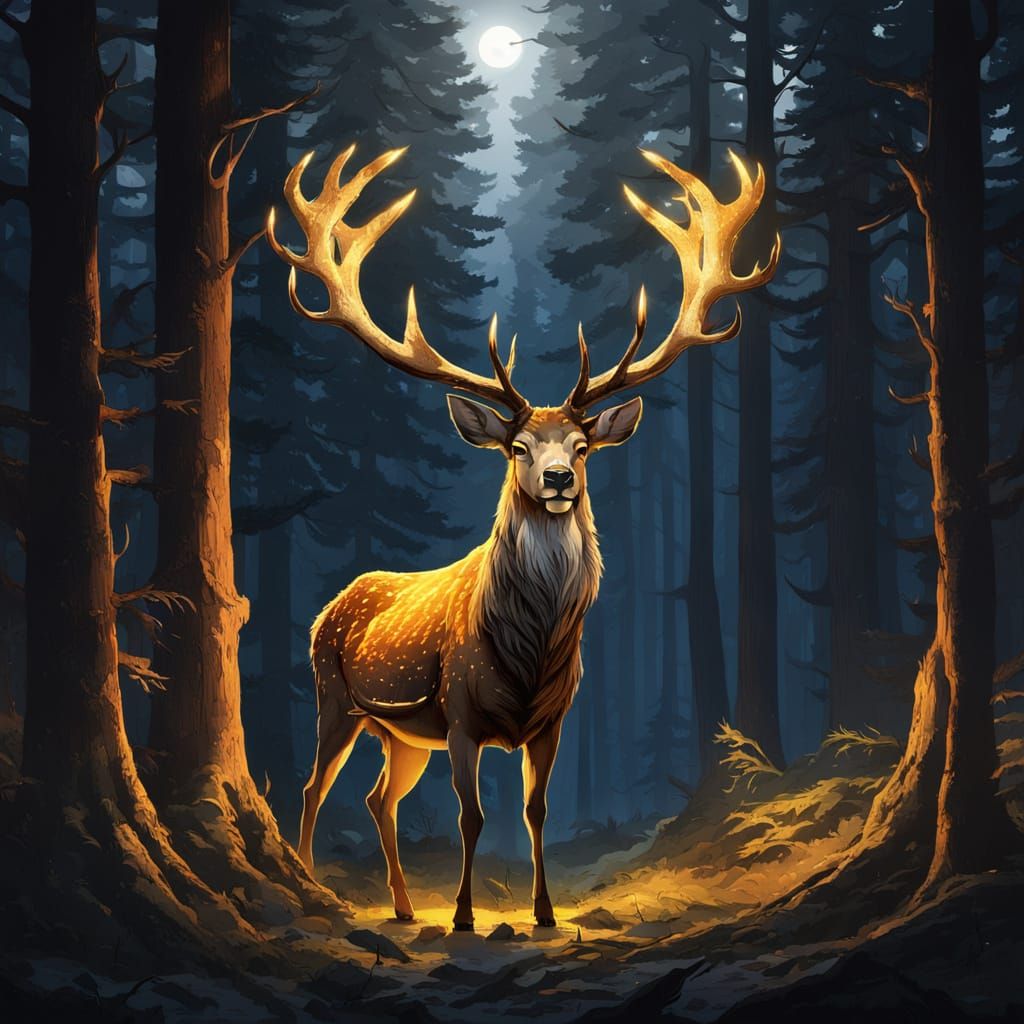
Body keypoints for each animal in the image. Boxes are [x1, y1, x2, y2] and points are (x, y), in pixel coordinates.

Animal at [266, 143, 779, 931]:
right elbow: (472, 816)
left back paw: (405, 907)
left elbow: (536, 812)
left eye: (583, 445)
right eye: (517, 448)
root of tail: (330, 606)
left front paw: (542, 911)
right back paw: (315, 884)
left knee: (379, 797)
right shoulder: (460, 712)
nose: (559, 478)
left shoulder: (554, 719)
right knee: (313, 788)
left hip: (400, 734)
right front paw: (464, 915)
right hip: (334, 697)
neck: (528, 651)